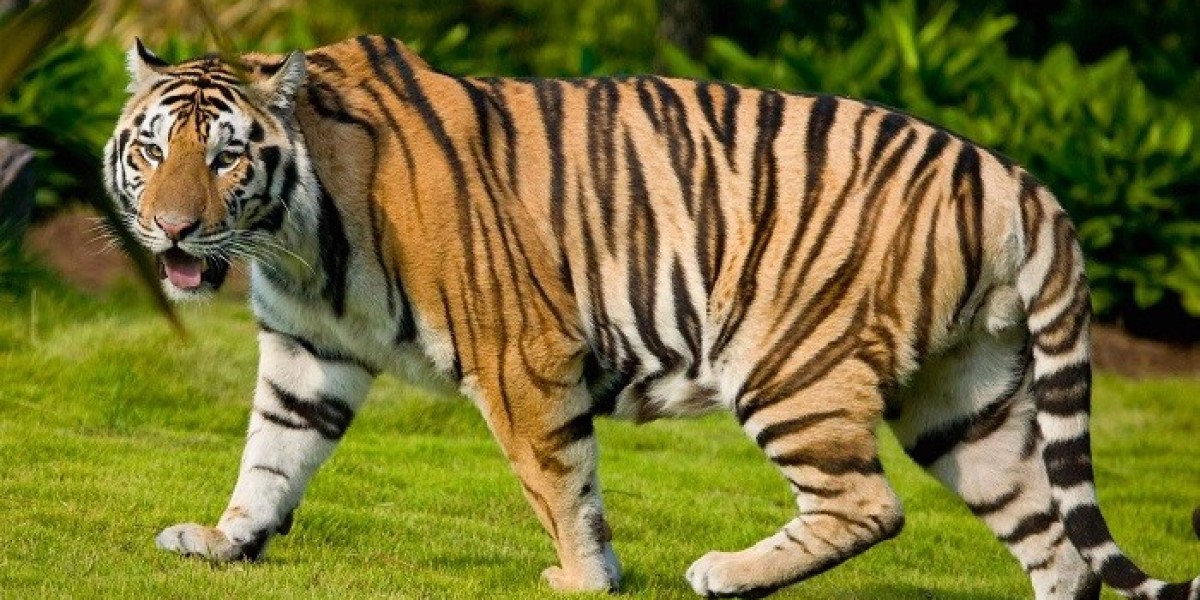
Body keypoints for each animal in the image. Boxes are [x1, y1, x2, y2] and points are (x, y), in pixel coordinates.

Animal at [102, 35, 1198, 599]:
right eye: (153, 150)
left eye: (226, 156)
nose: (173, 229)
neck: (293, 233)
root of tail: (1016, 176)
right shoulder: (307, 350)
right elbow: (270, 456)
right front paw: (226, 541)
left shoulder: (521, 352)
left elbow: (559, 480)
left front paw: (585, 577)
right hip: (965, 398)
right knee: (1055, 543)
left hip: (790, 362)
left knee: (868, 505)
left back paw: (725, 571)